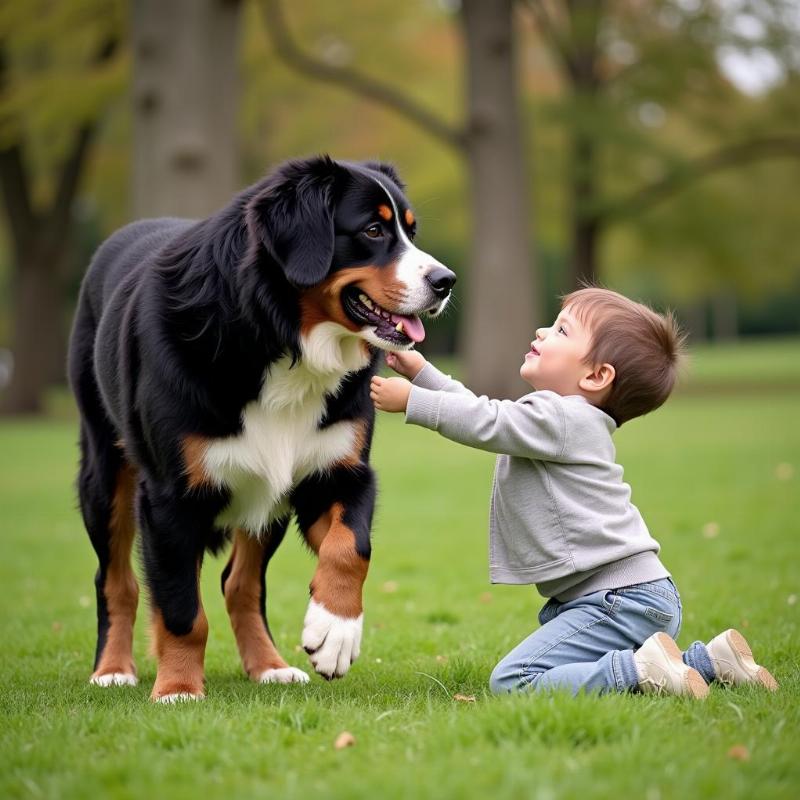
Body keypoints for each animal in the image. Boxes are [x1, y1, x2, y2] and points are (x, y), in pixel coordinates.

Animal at [67, 155, 456, 700]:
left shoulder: (338, 473)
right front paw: (178, 688)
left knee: (240, 582)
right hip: (106, 473)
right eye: (374, 230)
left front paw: (335, 631)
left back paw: (269, 665)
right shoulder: (170, 495)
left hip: (266, 492)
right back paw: (112, 669)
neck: (280, 339)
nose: (446, 280)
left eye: (410, 230)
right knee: (116, 579)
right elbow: (181, 607)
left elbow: (352, 546)